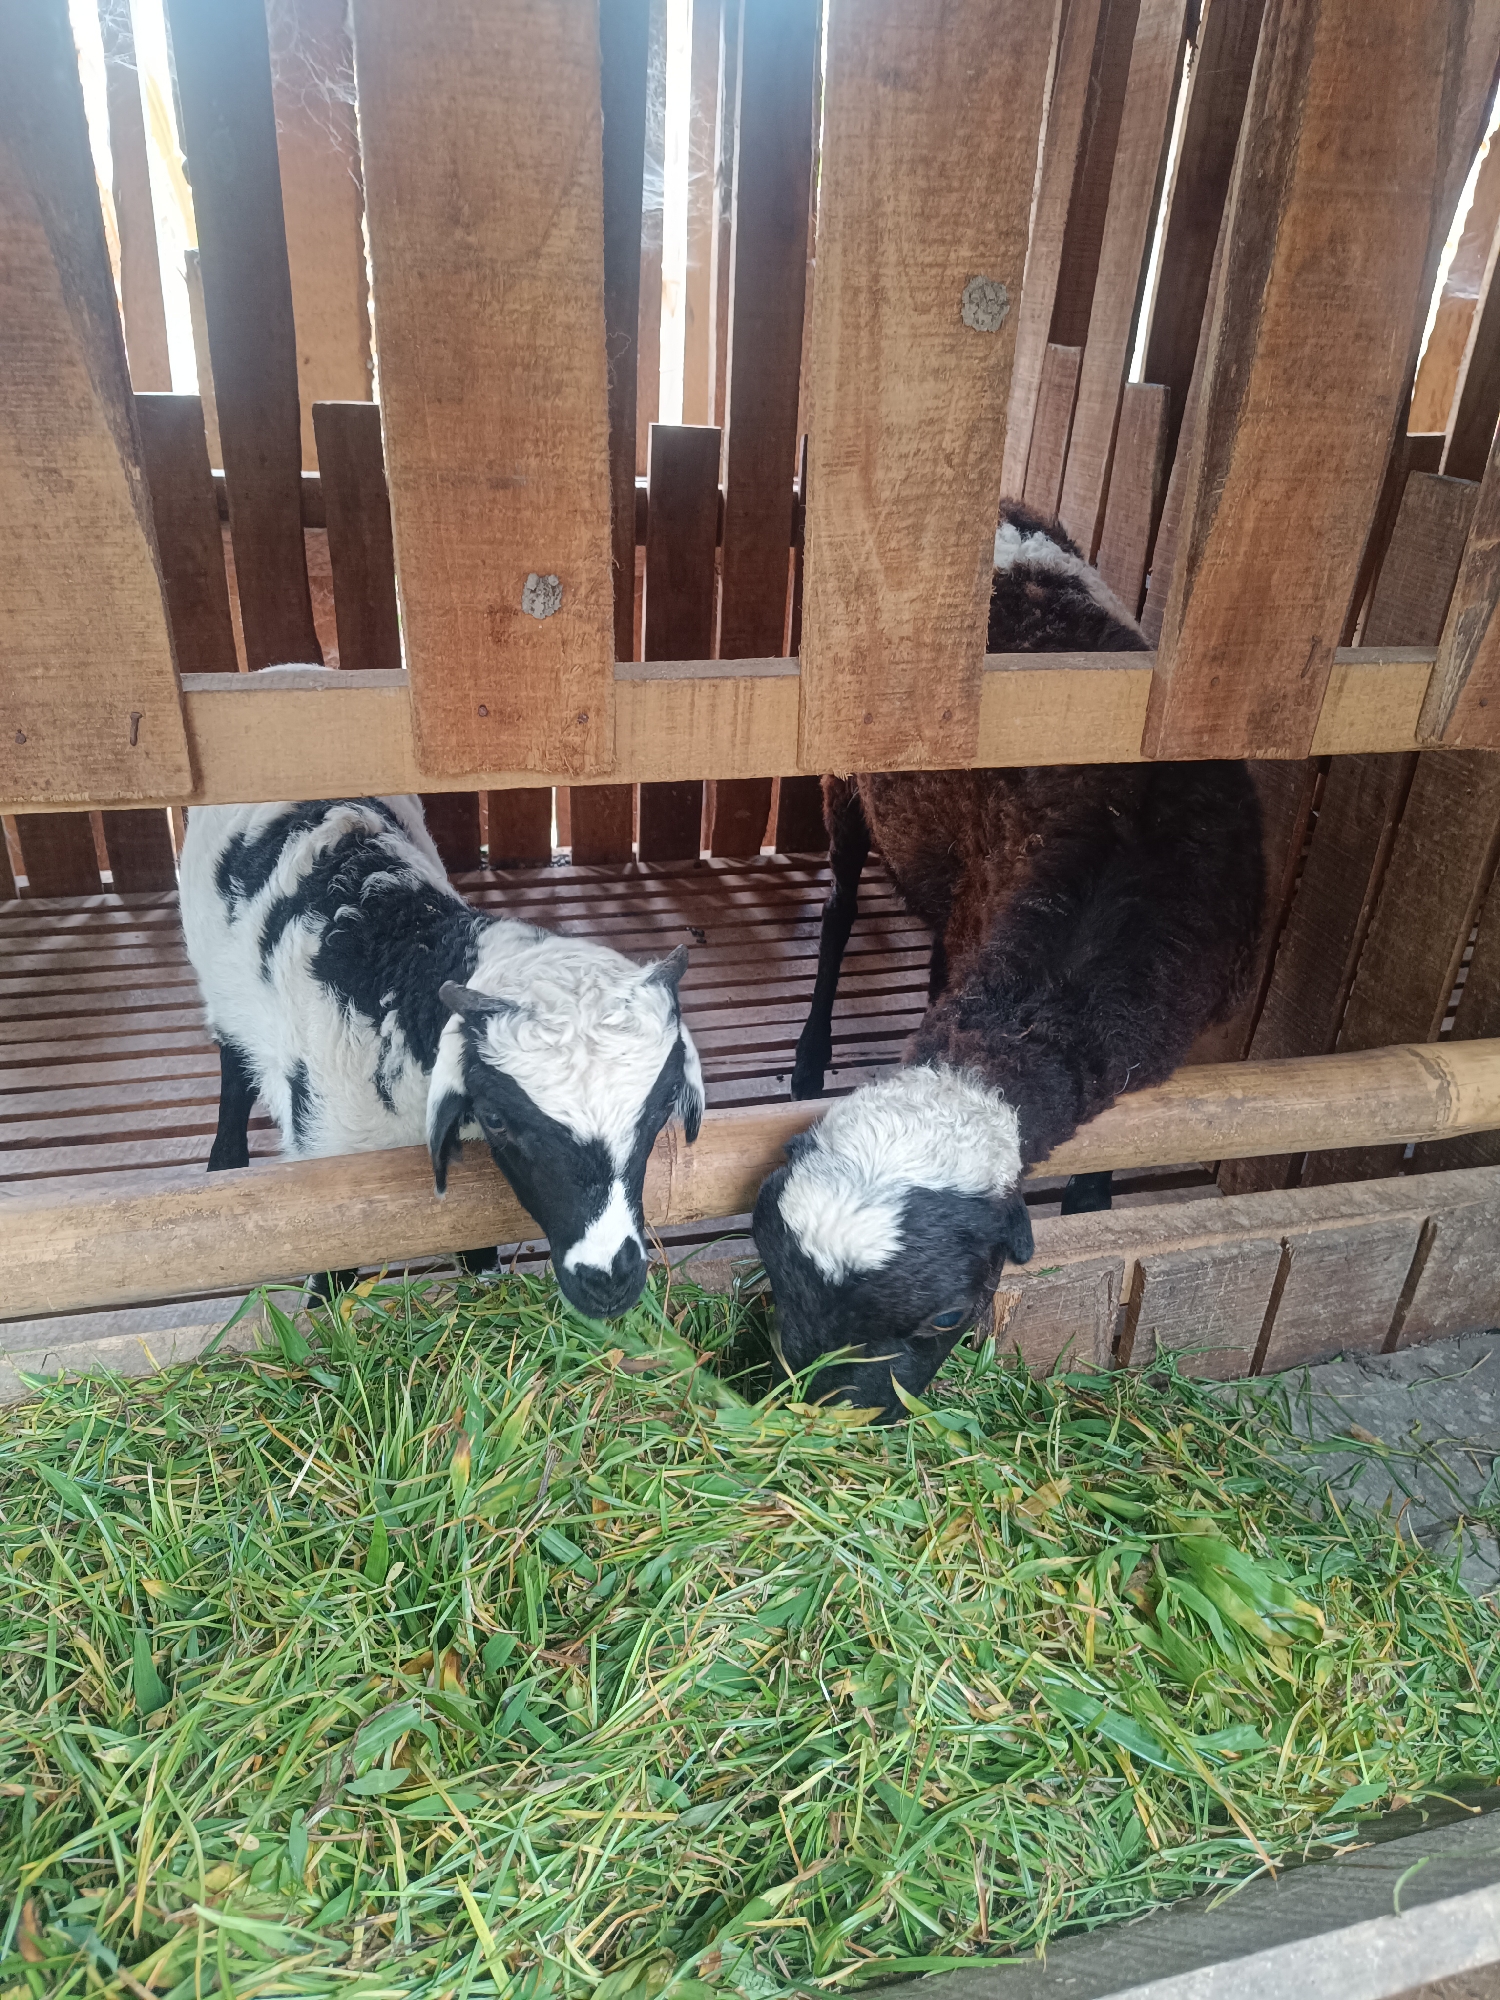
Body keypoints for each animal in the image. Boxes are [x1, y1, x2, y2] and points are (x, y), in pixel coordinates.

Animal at [180, 688, 703, 1319]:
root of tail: (281, 673)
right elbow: (331, 1278)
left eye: (660, 1109)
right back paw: (223, 1162)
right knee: (232, 1055)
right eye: (500, 1118)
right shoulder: (328, 1160)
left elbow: (472, 1247)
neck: (400, 964)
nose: (610, 1281)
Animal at [752, 504, 1264, 1418]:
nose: (824, 1418)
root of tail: (1003, 511)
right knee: (840, 909)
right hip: (847, 774)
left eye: (947, 1315)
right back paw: (810, 1056)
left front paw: (1093, 1202)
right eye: (773, 1276)